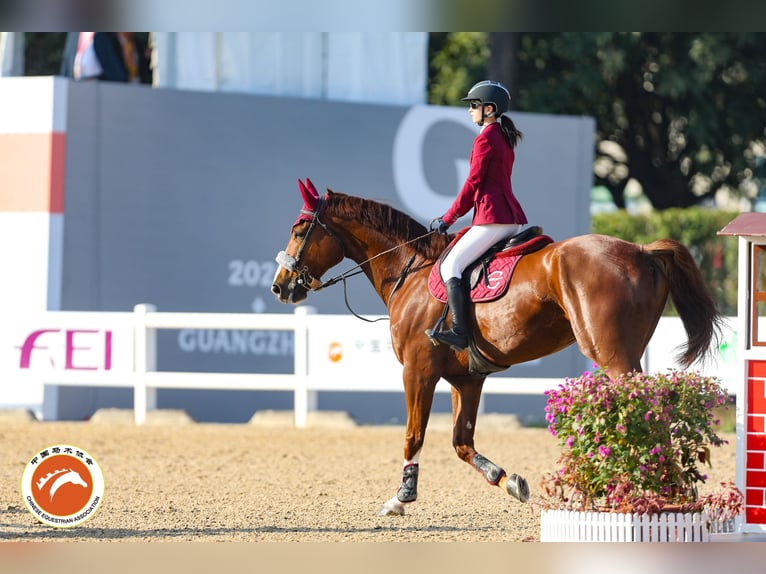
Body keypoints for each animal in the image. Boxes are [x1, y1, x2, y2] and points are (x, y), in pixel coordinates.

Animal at [274, 179, 728, 516]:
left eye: (298, 230)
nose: (281, 286)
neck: (411, 271)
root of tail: (640, 250)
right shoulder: (465, 379)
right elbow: (461, 442)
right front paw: (509, 481)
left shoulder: (418, 371)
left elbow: (413, 435)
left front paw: (401, 497)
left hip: (613, 356)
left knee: (649, 411)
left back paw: (654, 491)